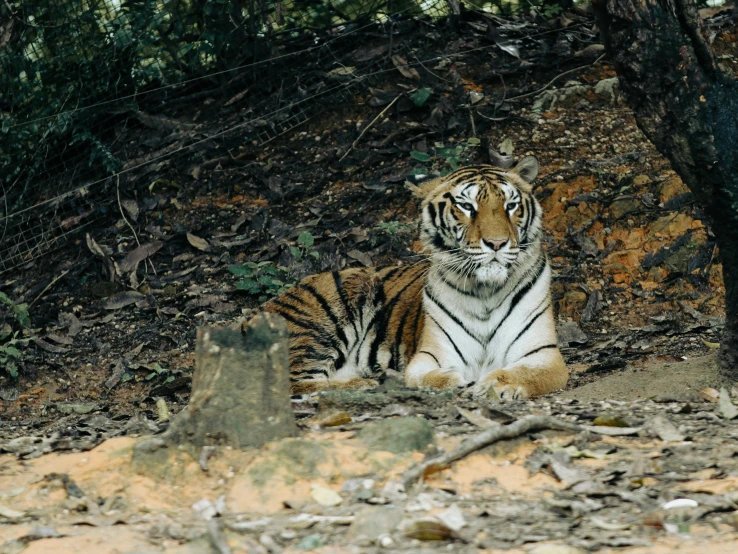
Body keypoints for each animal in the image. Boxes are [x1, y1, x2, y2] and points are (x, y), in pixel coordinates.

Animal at [262, 155, 568, 396]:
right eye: (467, 207)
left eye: (510, 206)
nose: (497, 243)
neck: (486, 292)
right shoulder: (430, 355)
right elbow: (424, 376)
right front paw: (455, 381)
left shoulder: (543, 355)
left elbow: (518, 373)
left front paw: (496, 384)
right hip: (317, 328)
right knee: (295, 384)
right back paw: (365, 384)